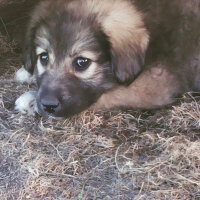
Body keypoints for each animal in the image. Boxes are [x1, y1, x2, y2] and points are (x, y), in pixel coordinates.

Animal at [14, 0, 200, 118]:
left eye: (82, 63)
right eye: (44, 57)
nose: (48, 104)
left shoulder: (157, 83)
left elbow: (104, 95)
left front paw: (30, 99)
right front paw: (27, 73)